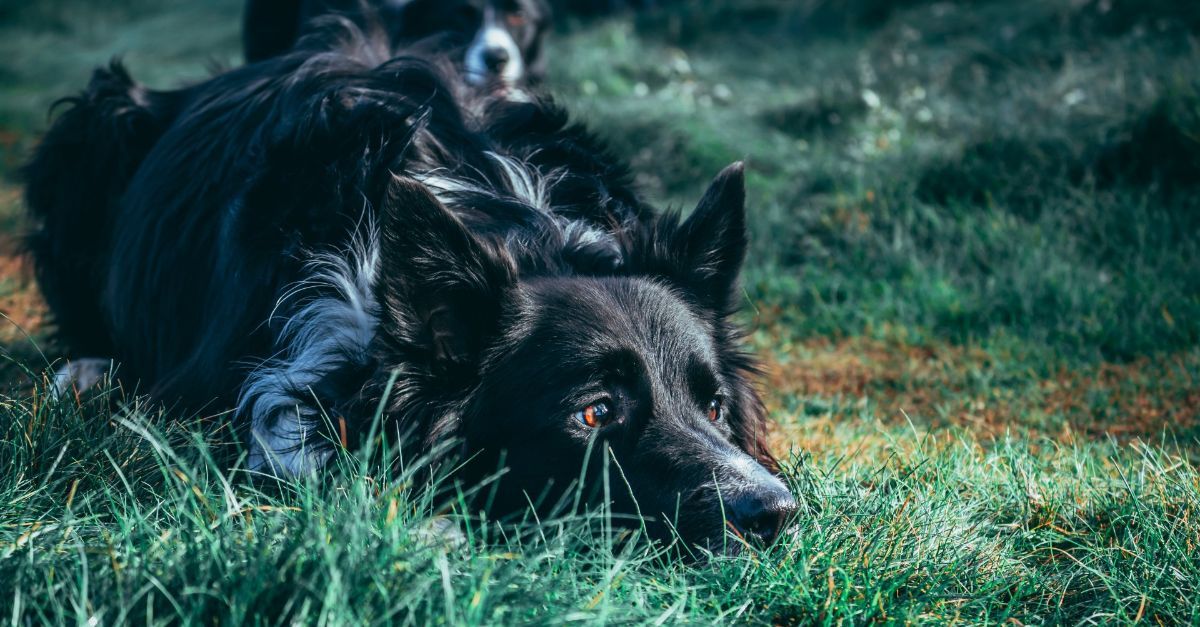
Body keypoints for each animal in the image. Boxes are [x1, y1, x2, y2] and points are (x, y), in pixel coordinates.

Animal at [21, 17, 796, 550]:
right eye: (595, 413)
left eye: (715, 406)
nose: (775, 513)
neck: (517, 229)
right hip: (96, 122)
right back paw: (85, 371)